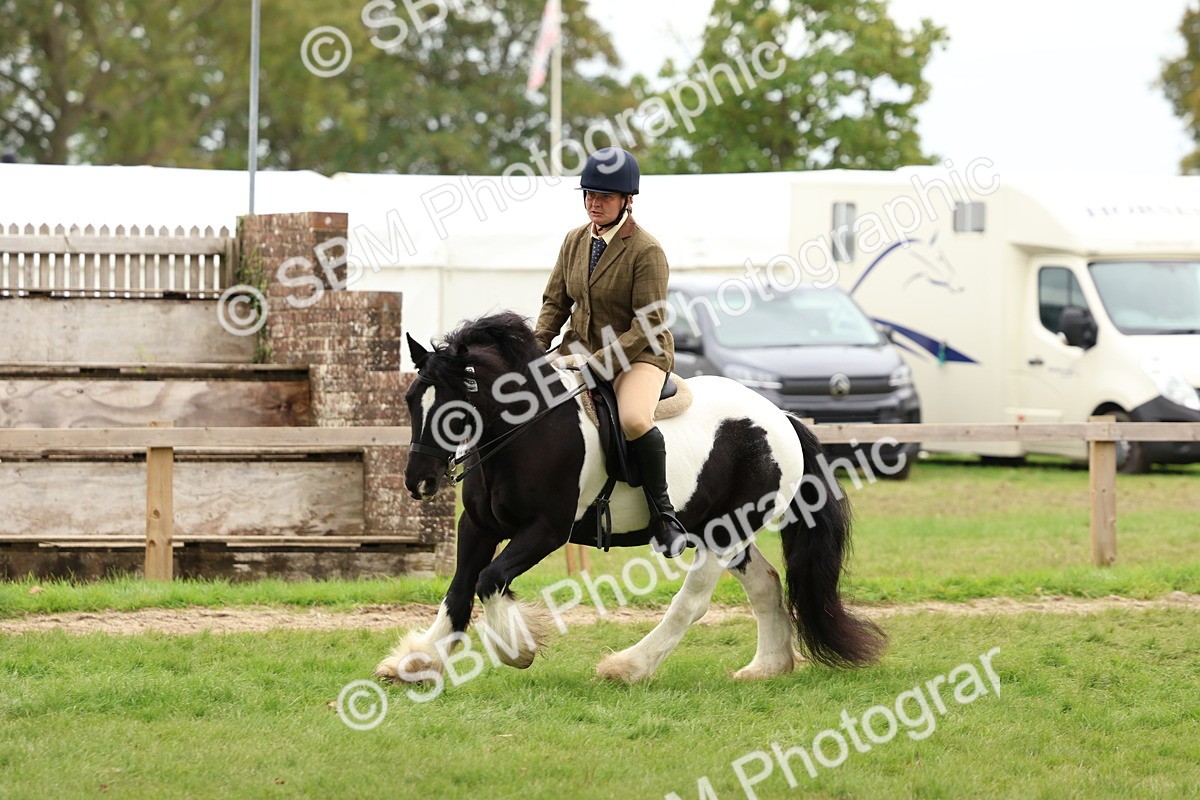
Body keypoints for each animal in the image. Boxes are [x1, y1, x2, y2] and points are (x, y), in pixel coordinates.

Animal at [374, 311, 885, 685]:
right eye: (411, 399)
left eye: (454, 409)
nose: (419, 482)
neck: (524, 432)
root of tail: (780, 417)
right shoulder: (478, 526)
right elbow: (460, 589)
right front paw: (416, 661)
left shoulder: (545, 531)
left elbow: (489, 578)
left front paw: (518, 649)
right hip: (720, 528)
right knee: (765, 583)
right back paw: (766, 668)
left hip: (724, 532)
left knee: (692, 602)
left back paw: (628, 666)